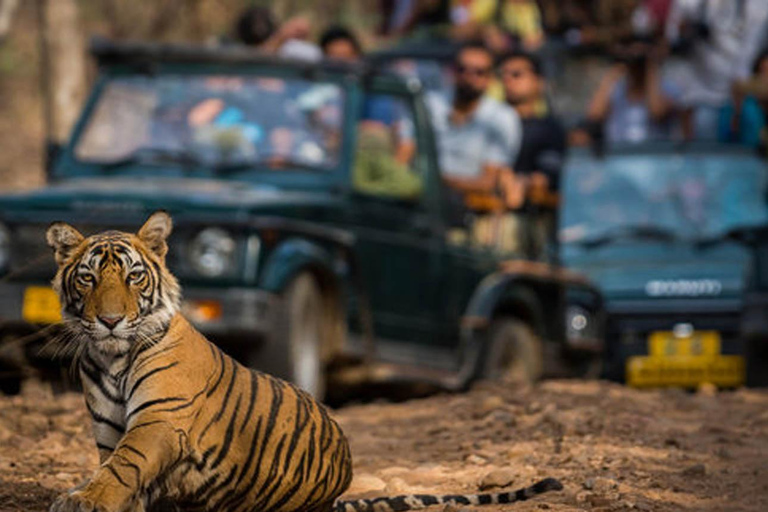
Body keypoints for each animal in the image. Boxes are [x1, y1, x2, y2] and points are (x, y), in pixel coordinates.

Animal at [46, 210, 564, 510]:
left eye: (133, 277)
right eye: (88, 278)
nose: (111, 321)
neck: (111, 357)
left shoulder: (160, 420)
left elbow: (124, 466)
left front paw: (86, 500)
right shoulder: (108, 429)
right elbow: (116, 467)